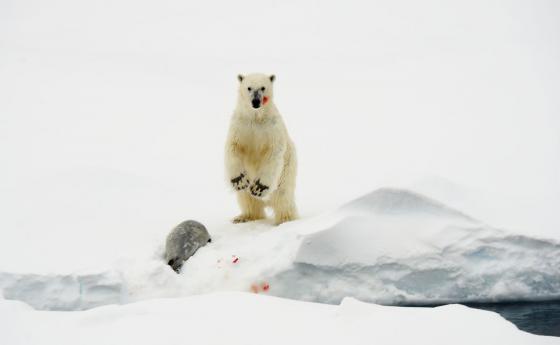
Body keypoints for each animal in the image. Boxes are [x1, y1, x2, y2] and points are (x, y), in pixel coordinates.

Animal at [225, 73, 300, 224]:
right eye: (249, 88)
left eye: (263, 87)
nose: (256, 101)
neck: (256, 117)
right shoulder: (240, 125)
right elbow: (233, 148)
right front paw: (239, 180)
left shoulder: (272, 128)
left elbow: (274, 154)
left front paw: (259, 187)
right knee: (246, 198)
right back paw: (243, 217)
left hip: (287, 172)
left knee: (283, 197)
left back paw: (286, 220)